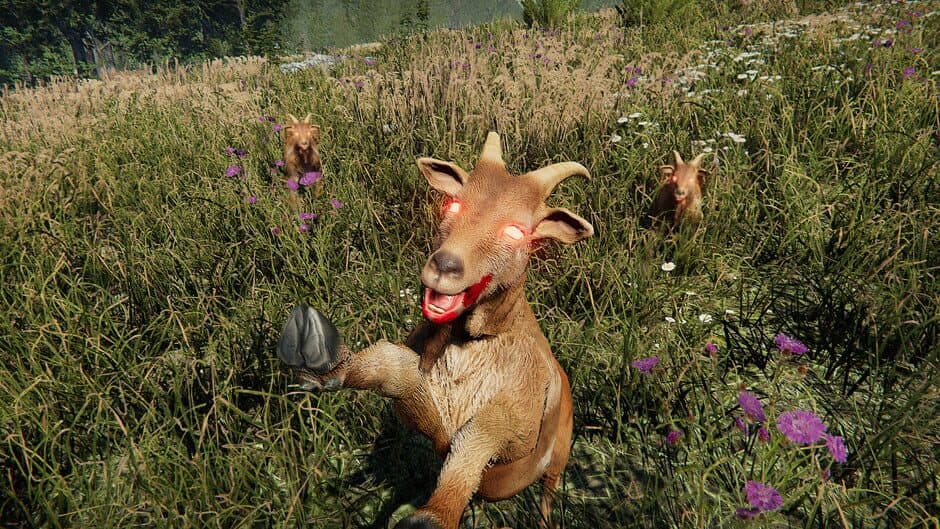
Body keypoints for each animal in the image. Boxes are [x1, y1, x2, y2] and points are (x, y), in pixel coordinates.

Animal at [277, 132, 594, 529]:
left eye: (516, 231)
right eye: (454, 205)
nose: (445, 265)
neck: (467, 346)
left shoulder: (517, 422)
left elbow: (479, 437)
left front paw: (433, 516)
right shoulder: (428, 416)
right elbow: (394, 370)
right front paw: (324, 361)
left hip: (560, 453)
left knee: (549, 492)